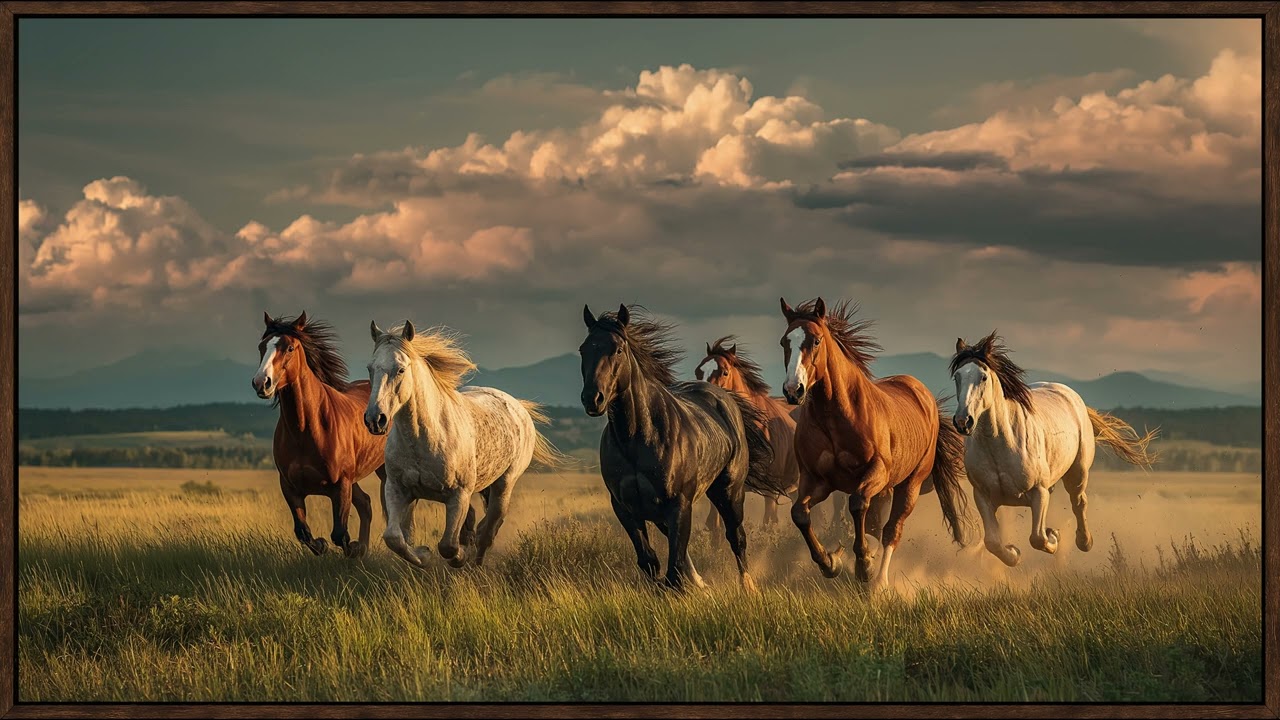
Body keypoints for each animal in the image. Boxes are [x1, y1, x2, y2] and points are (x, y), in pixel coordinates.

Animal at [251, 311, 386, 558]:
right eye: (261, 346)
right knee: (365, 504)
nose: (261, 383)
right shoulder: (290, 488)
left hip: (383, 471)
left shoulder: (340, 486)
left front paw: (351, 549)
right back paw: (364, 549)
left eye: (290, 348)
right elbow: (303, 532)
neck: (306, 431)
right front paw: (326, 546)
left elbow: (340, 534)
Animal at [364, 320, 562, 569]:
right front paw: (423, 554)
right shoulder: (397, 489)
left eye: (400, 369)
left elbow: (448, 546)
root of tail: (518, 406)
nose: (375, 419)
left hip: (503, 486)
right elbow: (395, 538)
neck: (424, 439)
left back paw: (474, 563)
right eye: (370, 368)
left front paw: (458, 557)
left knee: (487, 531)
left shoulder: (458, 496)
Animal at [580, 304, 784, 593]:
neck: (637, 438)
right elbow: (650, 561)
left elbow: (674, 567)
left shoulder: (679, 504)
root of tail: (725, 399)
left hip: (729, 493)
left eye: (617, 349)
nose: (592, 399)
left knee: (736, 537)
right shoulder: (625, 508)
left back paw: (748, 587)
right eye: (584, 349)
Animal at [779, 297, 975, 591]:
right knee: (875, 526)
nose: (793, 390)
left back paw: (879, 582)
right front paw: (830, 563)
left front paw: (864, 566)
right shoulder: (816, 481)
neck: (836, 416)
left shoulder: (876, 472)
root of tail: (923, 395)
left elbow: (857, 504)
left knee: (891, 531)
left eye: (815, 340)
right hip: (884, 491)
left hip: (909, 485)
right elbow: (799, 513)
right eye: (784, 342)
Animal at [949, 332, 1158, 566]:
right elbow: (992, 541)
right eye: (957, 377)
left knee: (1079, 502)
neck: (1000, 445)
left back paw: (1084, 542)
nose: (963, 421)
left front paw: (1054, 537)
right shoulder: (983, 496)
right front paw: (1014, 553)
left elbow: (1037, 538)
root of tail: (1072, 397)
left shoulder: (1038, 491)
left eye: (983, 377)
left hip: (1077, 474)